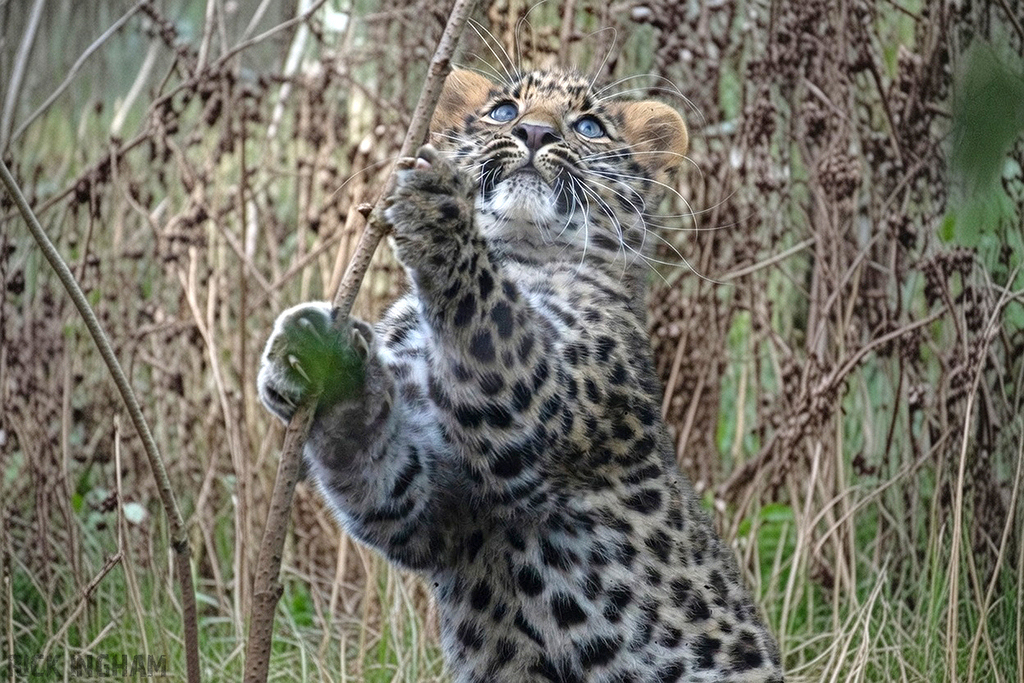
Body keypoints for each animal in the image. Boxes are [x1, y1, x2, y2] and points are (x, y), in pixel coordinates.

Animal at [257, 67, 783, 683]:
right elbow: (378, 464)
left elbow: (491, 310)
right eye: (504, 112)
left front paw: (439, 212)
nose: (534, 132)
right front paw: (311, 352)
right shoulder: (435, 505)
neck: (520, 253)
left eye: (588, 127)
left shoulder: (537, 403)